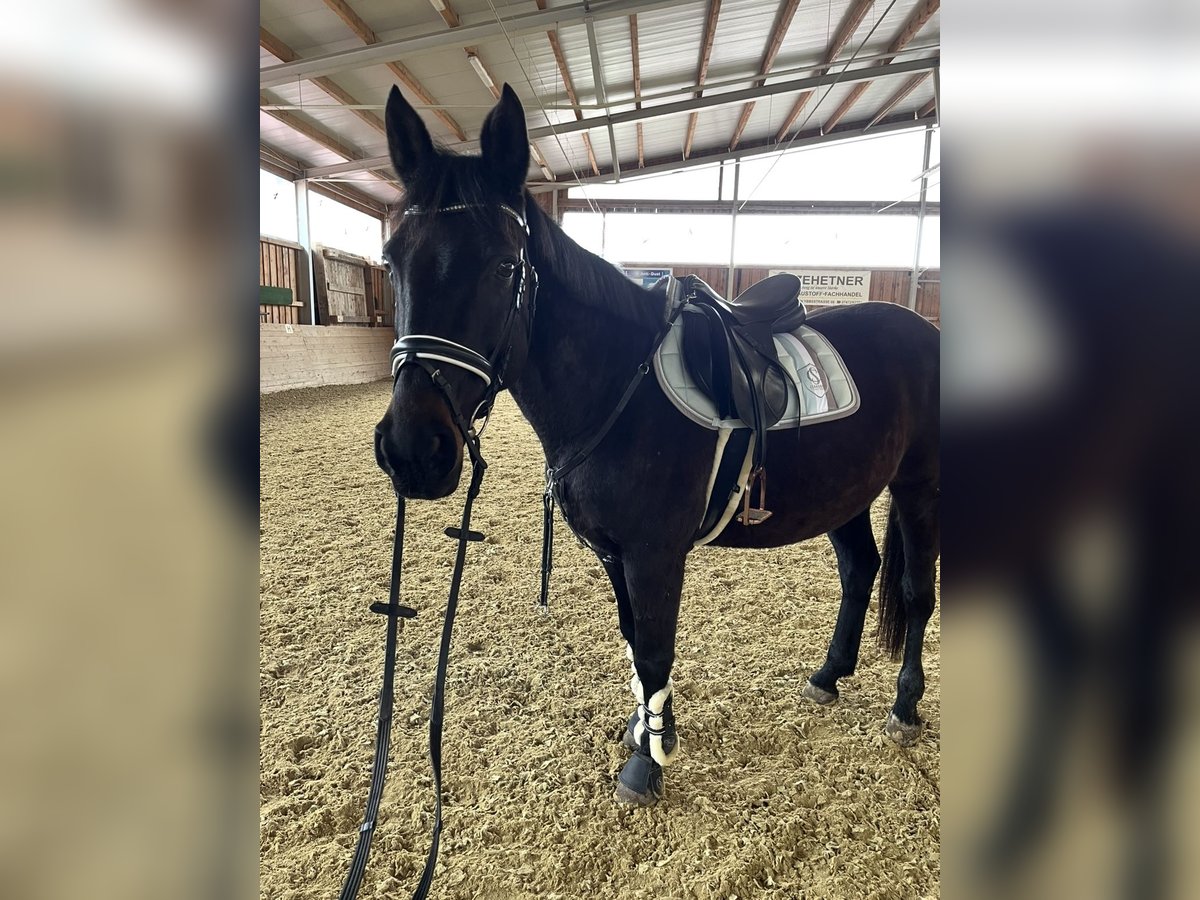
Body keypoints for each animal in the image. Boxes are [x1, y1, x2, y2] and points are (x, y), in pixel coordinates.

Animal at [372, 82, 936, 801]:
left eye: (504, 266)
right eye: (391, 260)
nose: (414, 449)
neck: (619, 385)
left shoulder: (654, 554)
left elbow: (655, 647)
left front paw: (648, 763)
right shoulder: (615, 554)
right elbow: (633, 643)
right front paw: (645, 731)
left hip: (920, 486)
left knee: (916, 592)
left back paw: (905, 706)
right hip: (848, 492)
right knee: (860, 569)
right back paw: (828, 676)